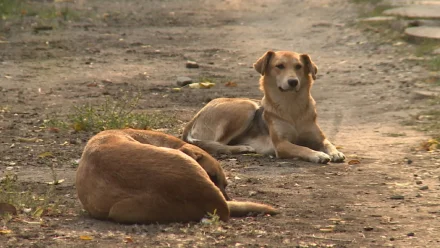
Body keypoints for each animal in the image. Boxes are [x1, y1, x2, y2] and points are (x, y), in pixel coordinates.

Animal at [181, 50, 344, 165]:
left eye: (299, 66)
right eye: (279, 66)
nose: (293, 82)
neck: (291, 107)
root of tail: (194, 117)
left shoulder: (318, 137)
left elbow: (328, 142)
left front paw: (335, 152)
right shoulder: (281, 145)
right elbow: (302, 148)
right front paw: (318, 154)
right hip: (246, 106)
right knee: (217, 144)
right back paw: (242, 148)